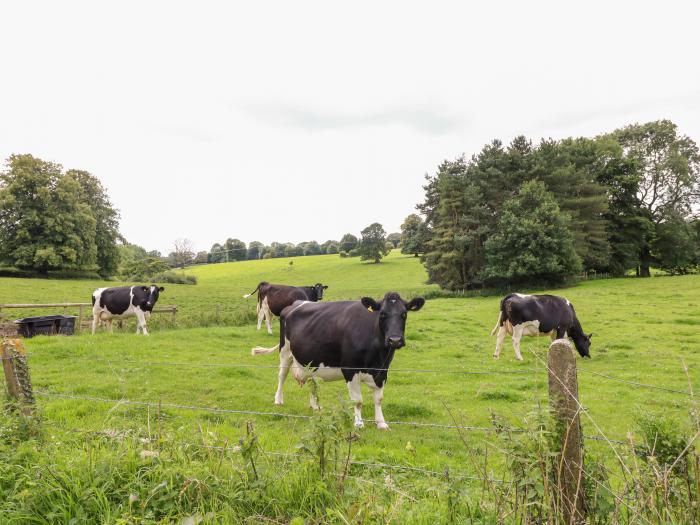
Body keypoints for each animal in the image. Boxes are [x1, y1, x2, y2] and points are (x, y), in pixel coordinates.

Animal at [253, 290, 426, 430]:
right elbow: (358, 401)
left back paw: (315, 406)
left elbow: (378, 399)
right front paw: (359, 423)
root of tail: (295, 304)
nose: (395, 340)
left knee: (311, 381)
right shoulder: (350, 370)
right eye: (382, 314)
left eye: (404, 314)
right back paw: (278, 400)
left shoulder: (382, 372)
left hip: (310, 360)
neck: (377, 357)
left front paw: (381, 423)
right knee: (282, 375)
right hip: (285, 351)